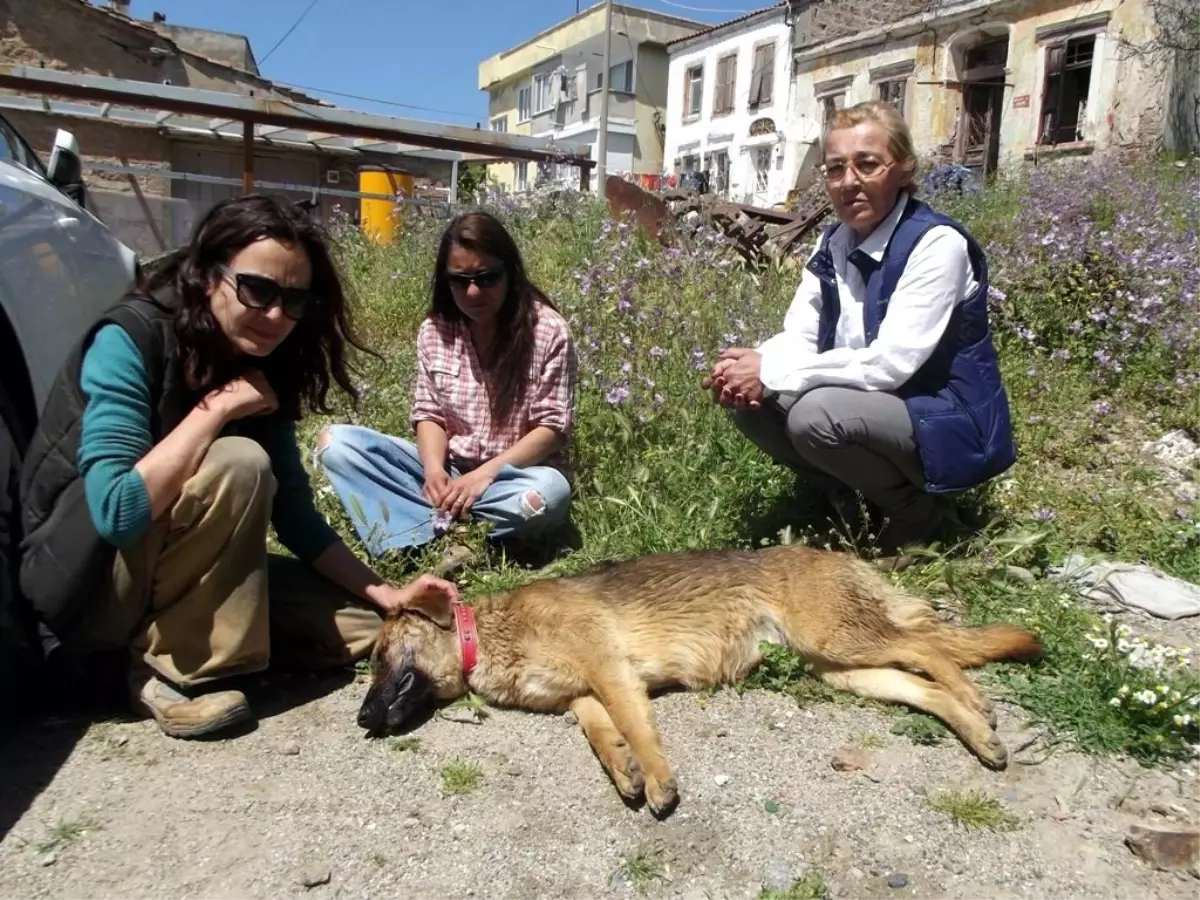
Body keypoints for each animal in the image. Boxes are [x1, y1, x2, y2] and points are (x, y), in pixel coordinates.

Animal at [357, 542, 1041, 816]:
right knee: (921, 682)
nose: (361, 718)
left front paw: (659, 781)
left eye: (381, 655)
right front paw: (627, 774)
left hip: (838, 639)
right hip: (841, 671)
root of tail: (838, 554)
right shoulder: (584, 696)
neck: (485, 637)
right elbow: (602, 737)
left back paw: (975, 702)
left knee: (931, 646)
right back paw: (977, 731)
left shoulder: (611, 673)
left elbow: (636, 729)